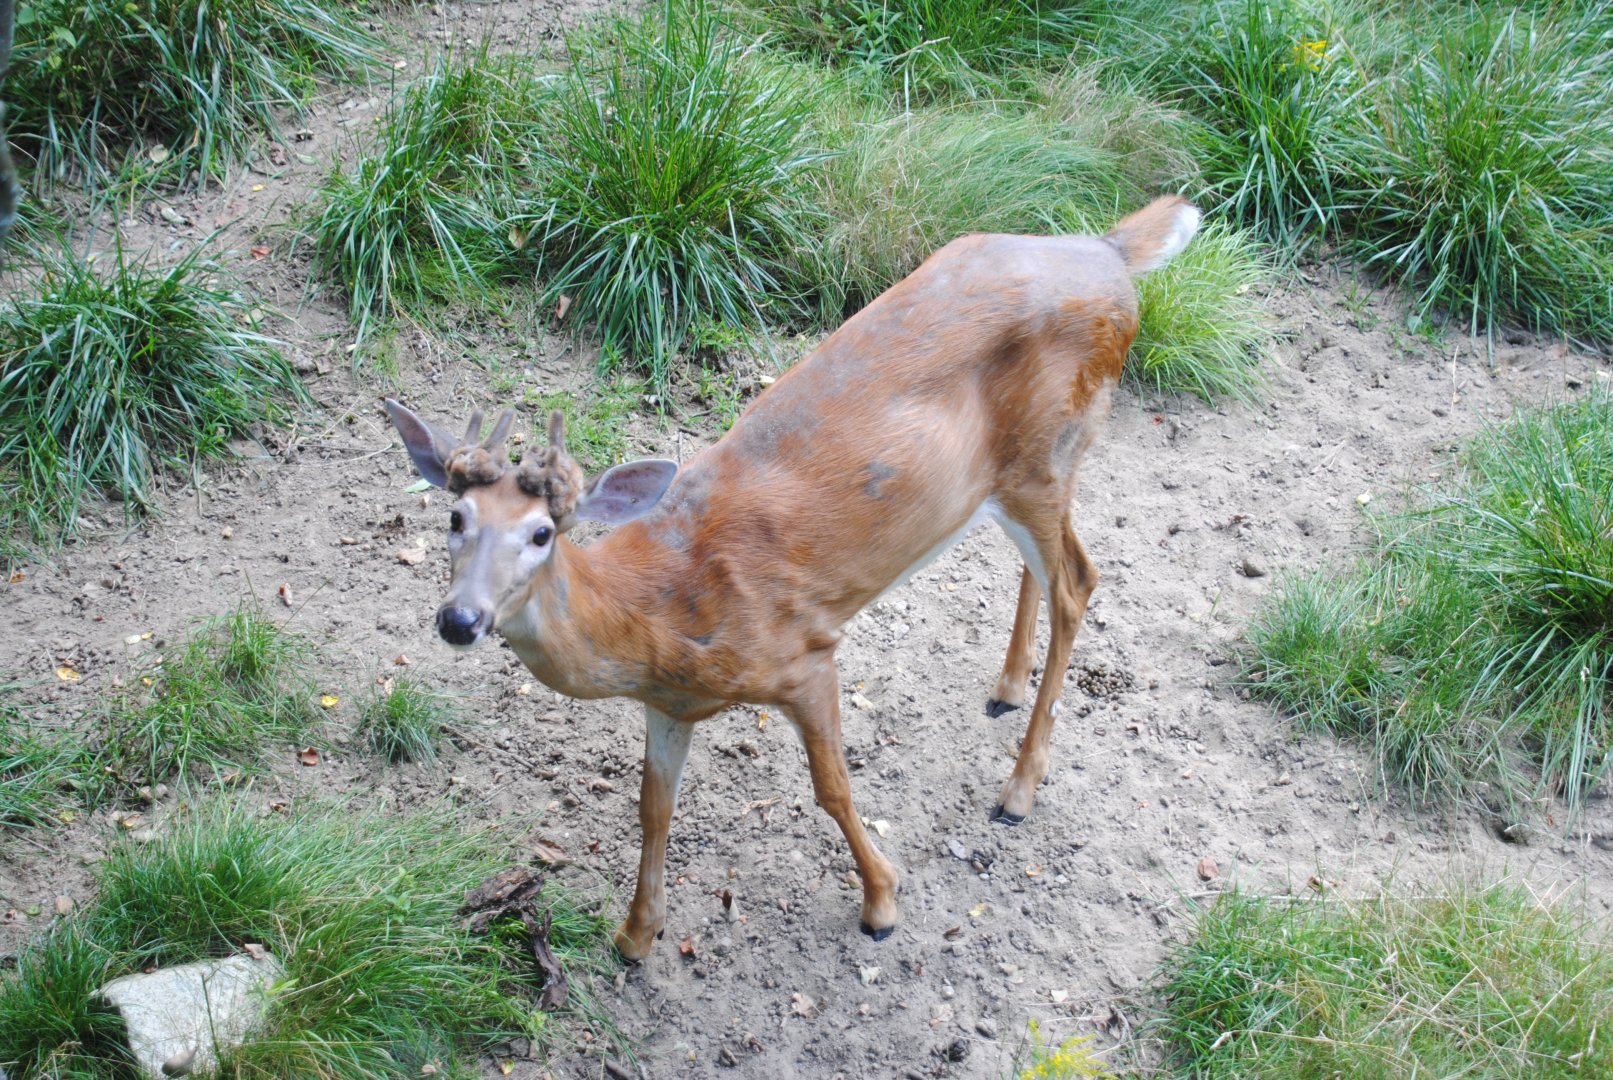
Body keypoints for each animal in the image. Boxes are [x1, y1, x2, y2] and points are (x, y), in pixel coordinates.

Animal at [384, 195, 1200, 959]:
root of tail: (1108, 254)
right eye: (454, 516)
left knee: (1078, 581)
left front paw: (881, 902)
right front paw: (636, 936)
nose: (460, 619)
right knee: (1048, 565)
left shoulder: (803, 655)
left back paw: (1018, 791)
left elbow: (831, 787)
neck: (661, 609)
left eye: (541, 533)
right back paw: (1003, 688)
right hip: (1024, 473)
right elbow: (653, 807)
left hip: (1043, 454)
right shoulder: (669, 706)